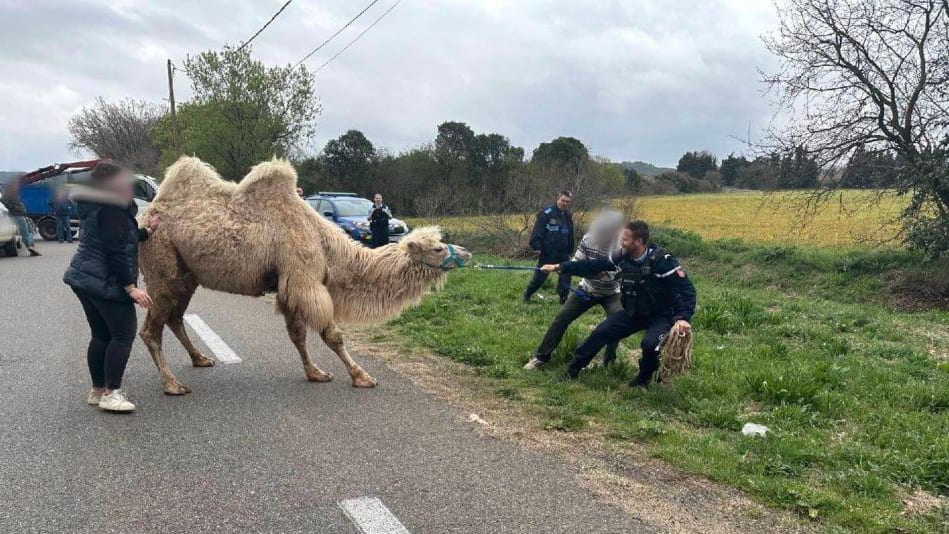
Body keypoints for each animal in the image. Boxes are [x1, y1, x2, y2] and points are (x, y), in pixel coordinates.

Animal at [137, 156, 471, 395]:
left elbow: (298, 334)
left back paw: (200, 359)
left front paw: (316, 373)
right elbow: (331, 334)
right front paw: (362, 376)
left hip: (186, 276)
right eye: (438, 248)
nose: (466, 253)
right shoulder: (304, 280)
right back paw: (173, 384)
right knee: (151, 329)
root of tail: (144, 216)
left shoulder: (289, 286)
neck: (326, 244)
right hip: (161, 267)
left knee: (175, 317)